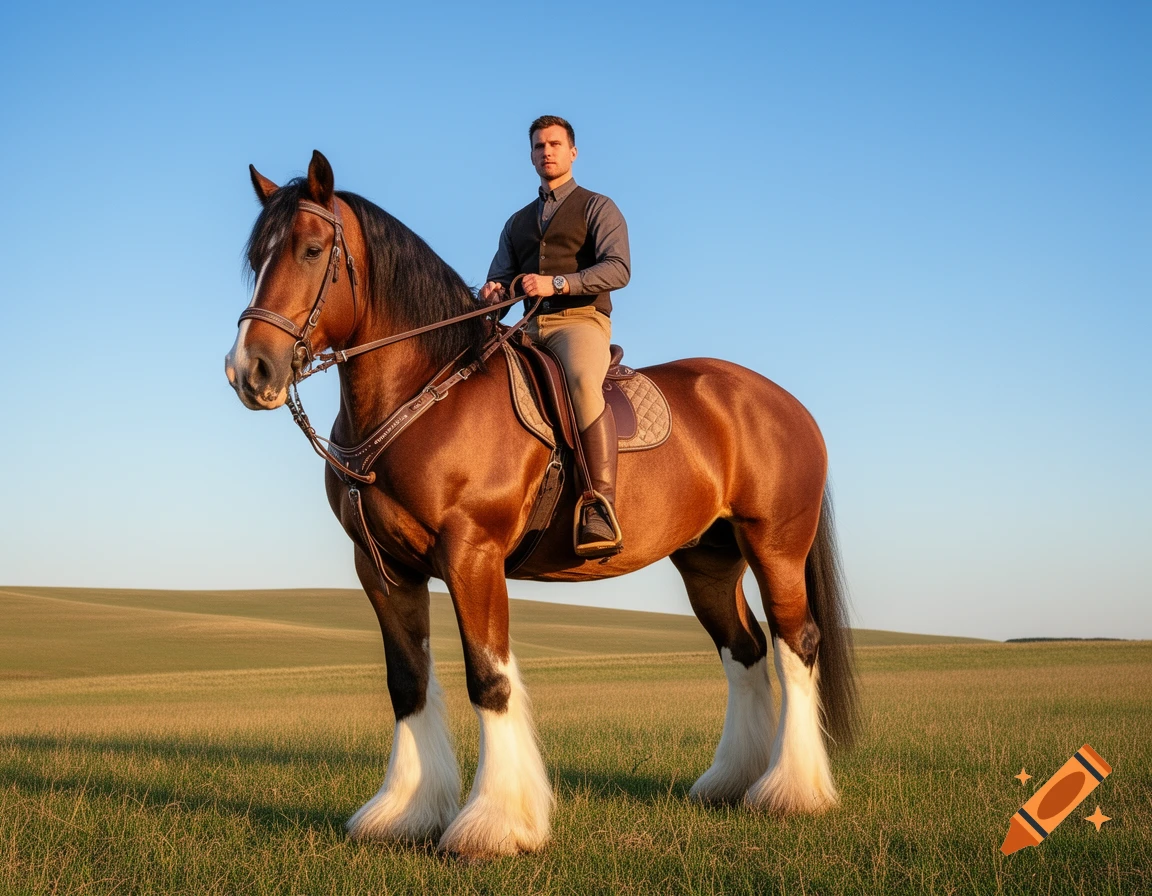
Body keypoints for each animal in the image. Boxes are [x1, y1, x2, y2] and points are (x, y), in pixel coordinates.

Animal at [224, 150, 859, 859]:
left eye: (311, 250)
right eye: (256, 258)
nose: (249, 369)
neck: (426, 393)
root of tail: (784, 403)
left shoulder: (472, 556)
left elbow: (489, 679)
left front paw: (496, 823)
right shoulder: (382, 568)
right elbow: (407, 682)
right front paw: (406, 812)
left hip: (775, 545)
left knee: (796, 643)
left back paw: (793, 791)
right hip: (708, 561)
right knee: (745, 649)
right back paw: (729, 782)